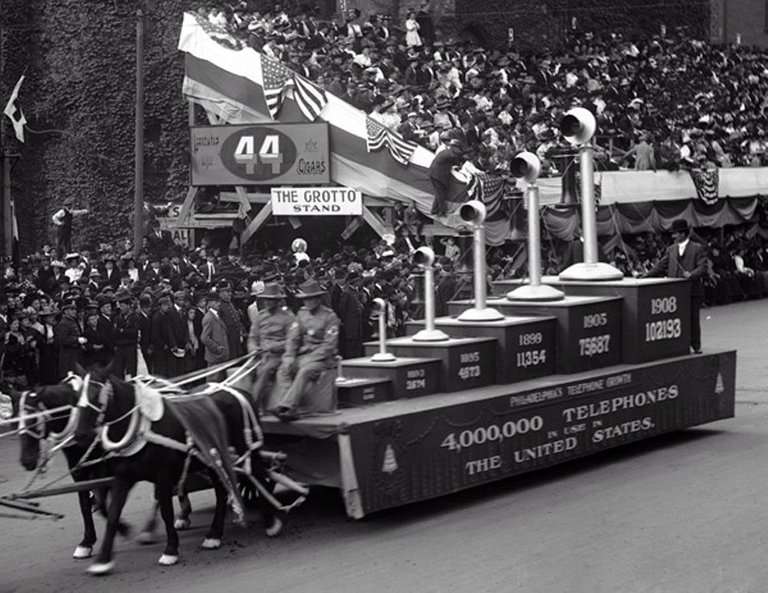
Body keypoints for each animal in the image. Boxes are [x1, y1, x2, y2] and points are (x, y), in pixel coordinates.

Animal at [17, 374, 130, 560]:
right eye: (15, 421)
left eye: (32, 420)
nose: (26, 461)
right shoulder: (78, 468)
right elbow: (85, 502)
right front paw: (86, 542)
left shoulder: (102, 464)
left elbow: (102, 499)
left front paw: (122, 528)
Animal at [75, 370, 282, 572]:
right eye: (76, 397)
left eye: (97, 396)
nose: (80, 435)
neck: (141, 427)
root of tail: (239, 391)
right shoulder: (123, 478)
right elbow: (112, 513)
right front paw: (103, 558)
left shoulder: (163, 476)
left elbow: (166, 511)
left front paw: (170, 550)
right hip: (212, 458)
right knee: (222, 492)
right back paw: (214, 535)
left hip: (246, 447)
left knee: (259, 477)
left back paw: (271, 522)